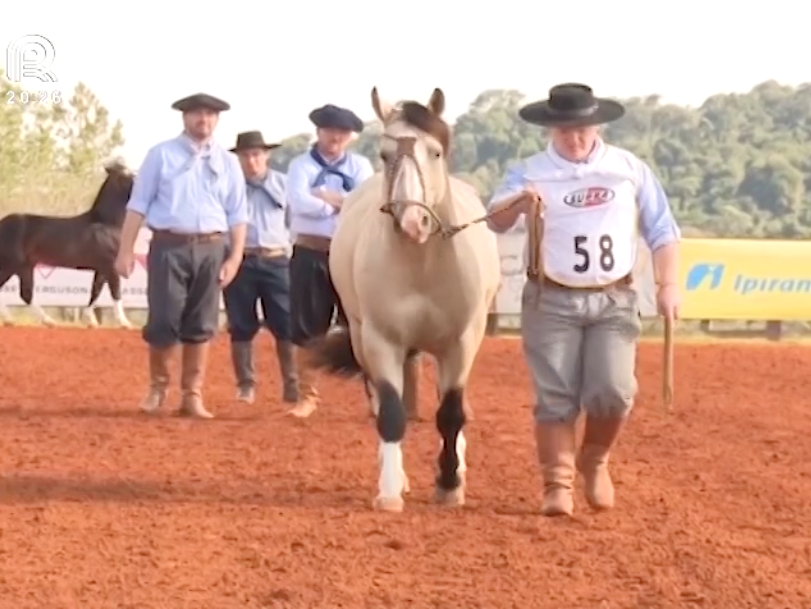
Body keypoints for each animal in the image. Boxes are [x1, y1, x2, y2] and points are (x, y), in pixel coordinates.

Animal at [0, 159, 136, 326]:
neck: (106, 223)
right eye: (126, 174)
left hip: (18, 266)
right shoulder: (111, 267)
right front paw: (125, 323)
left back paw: (14, 320)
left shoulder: (102, 269)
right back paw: (46, 321)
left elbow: (95, 292)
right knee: (26, 294)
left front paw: (91, 321)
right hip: (17, 265)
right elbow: (115, 293)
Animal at [308, 88, 504, 510]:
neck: (422, 264)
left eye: (435, 152)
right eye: (384, 155)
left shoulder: (461, 342)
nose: (413, 223)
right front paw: (390, 491)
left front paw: (449, 484)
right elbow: (391, 413)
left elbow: (451, 412)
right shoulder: (381, 341)